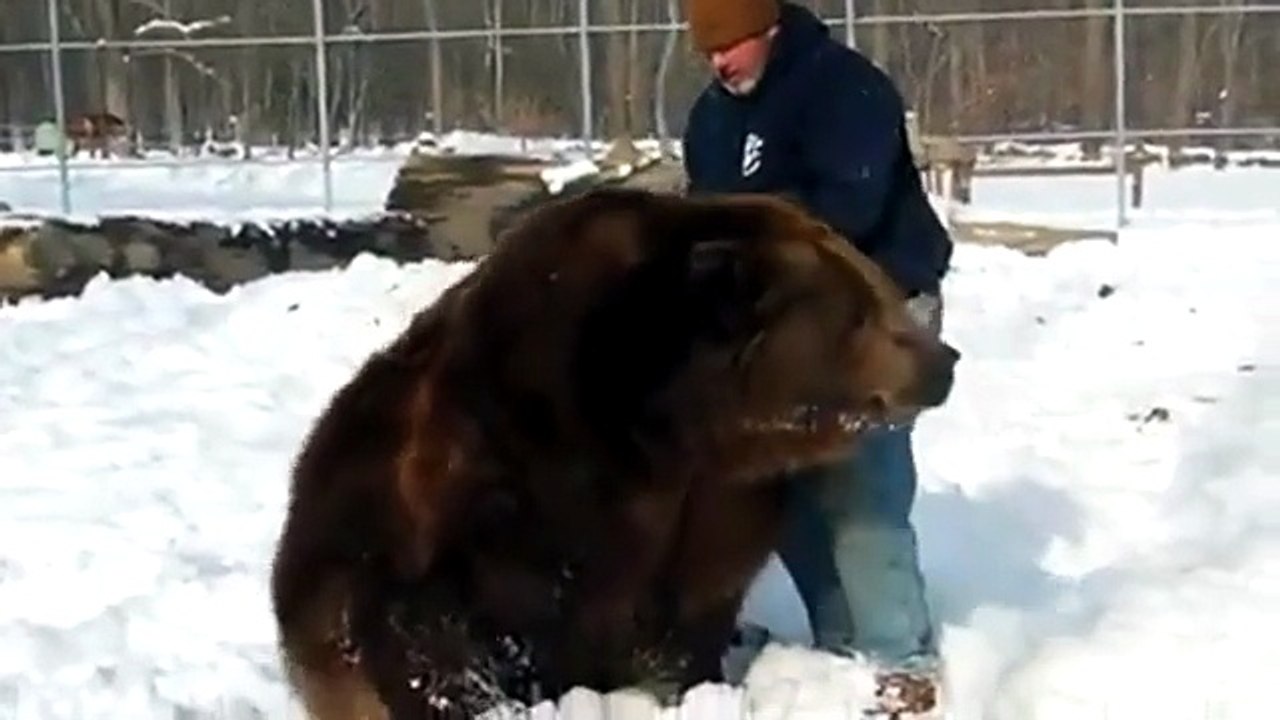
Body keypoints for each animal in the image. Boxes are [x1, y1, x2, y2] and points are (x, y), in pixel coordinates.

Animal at [268, 186, 959, 719]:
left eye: (877, 288)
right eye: (861, 313)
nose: (943, 362)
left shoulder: (717, 506)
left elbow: (695, 605)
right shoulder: (509, 478)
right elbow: (449, 634)